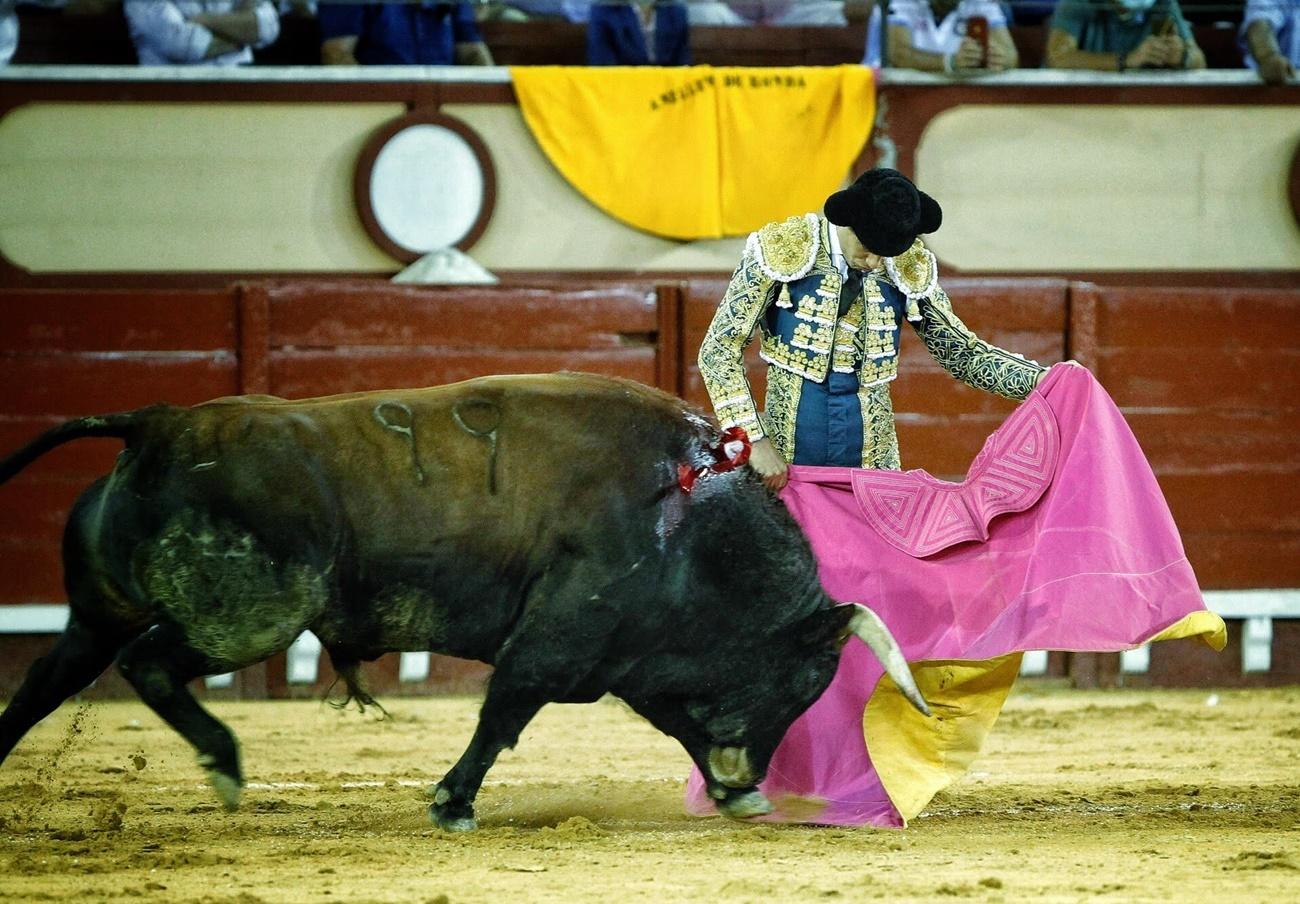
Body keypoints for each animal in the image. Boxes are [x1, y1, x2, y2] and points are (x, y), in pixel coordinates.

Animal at [0, 372, 925, 832]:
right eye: (799, 685)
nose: (755, 777)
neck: (691, 514)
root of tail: (160, 423)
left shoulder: (631, 658)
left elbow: (681, 725)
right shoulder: (562, 640)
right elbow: (505, 712)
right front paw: (452, 802)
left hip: (101, 611)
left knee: (46, 682)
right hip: (247, 615)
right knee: (148, 665)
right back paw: (225, 764)